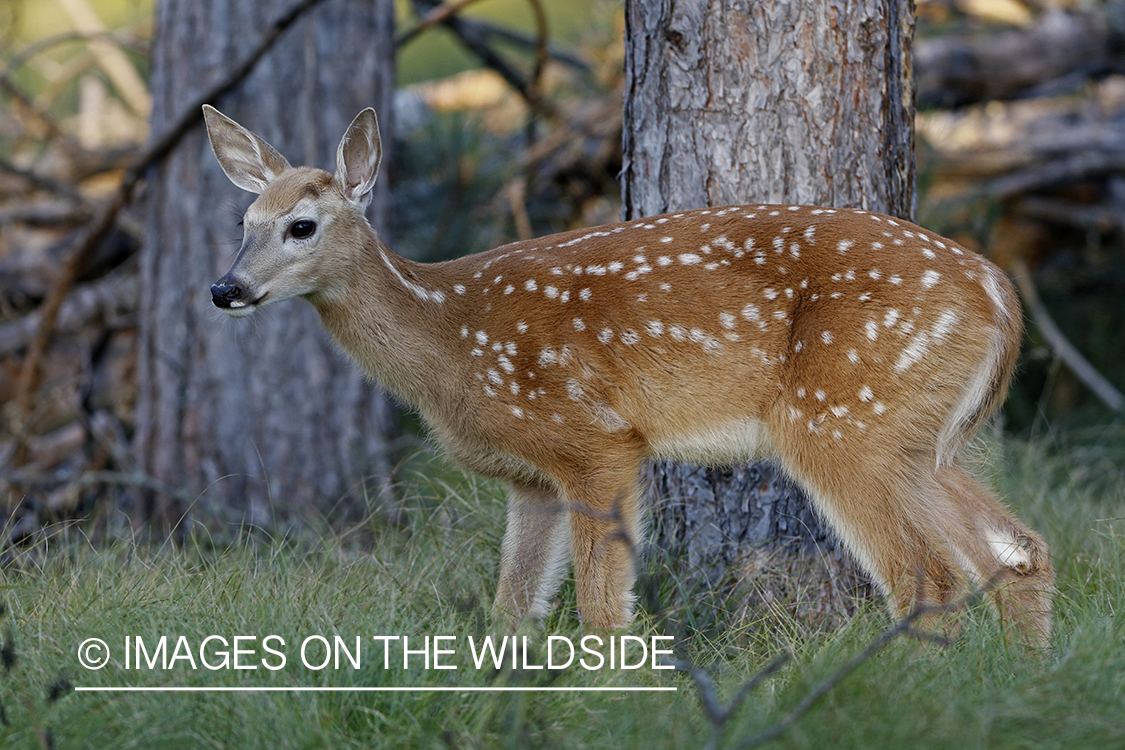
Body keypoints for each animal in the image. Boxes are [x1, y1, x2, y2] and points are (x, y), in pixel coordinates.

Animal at [202, 105, 1054, 648]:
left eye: (301, 226)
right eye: (242, 224)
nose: (224, 288)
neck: (450, 337)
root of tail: (998, 290)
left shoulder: (595, 439)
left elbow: (601, 610)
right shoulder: (530, 478)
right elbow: (513, 609)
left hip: (842, 419)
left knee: (927, 574)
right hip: (920, 437)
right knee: (1015, 553)